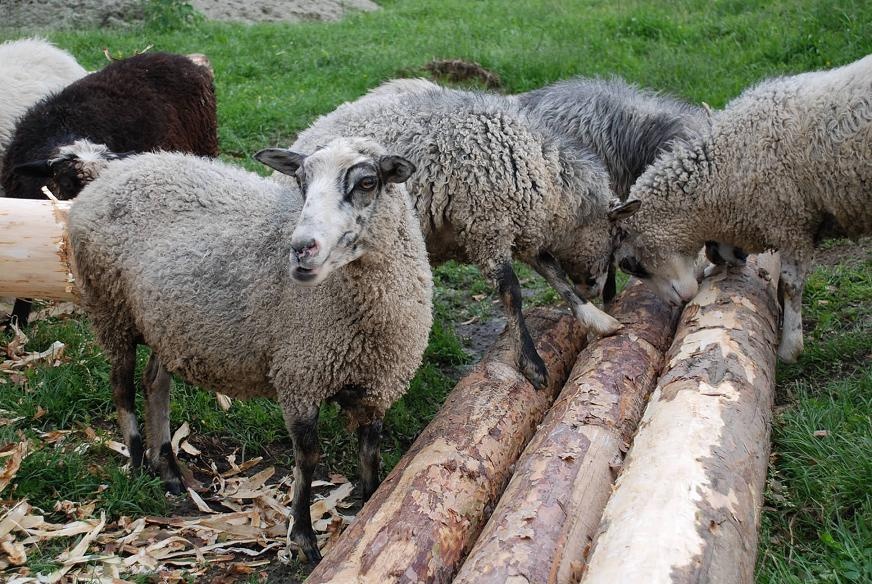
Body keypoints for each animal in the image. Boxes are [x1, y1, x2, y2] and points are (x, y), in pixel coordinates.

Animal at [67, 138, 432, 564]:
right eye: (300, 181)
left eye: (368, 182)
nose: (301, 249)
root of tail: (115, 170)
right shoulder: (299, 377)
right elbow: (307, 460)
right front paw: (304, 539)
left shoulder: (377, 385)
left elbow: (370, 455)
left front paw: (375, 507)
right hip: (110, 307)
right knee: (122, 387)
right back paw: (139, 462)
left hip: (165, 323)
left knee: (154, 383)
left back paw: (169, 470)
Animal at [258, 83, 632, 392]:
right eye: (615, 238)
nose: (601, 291)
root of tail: (305, 136)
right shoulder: (488, 229)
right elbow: (512, 293)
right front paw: (532, 364)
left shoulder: (523, 232)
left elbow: (556, 275)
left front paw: (601, 321)